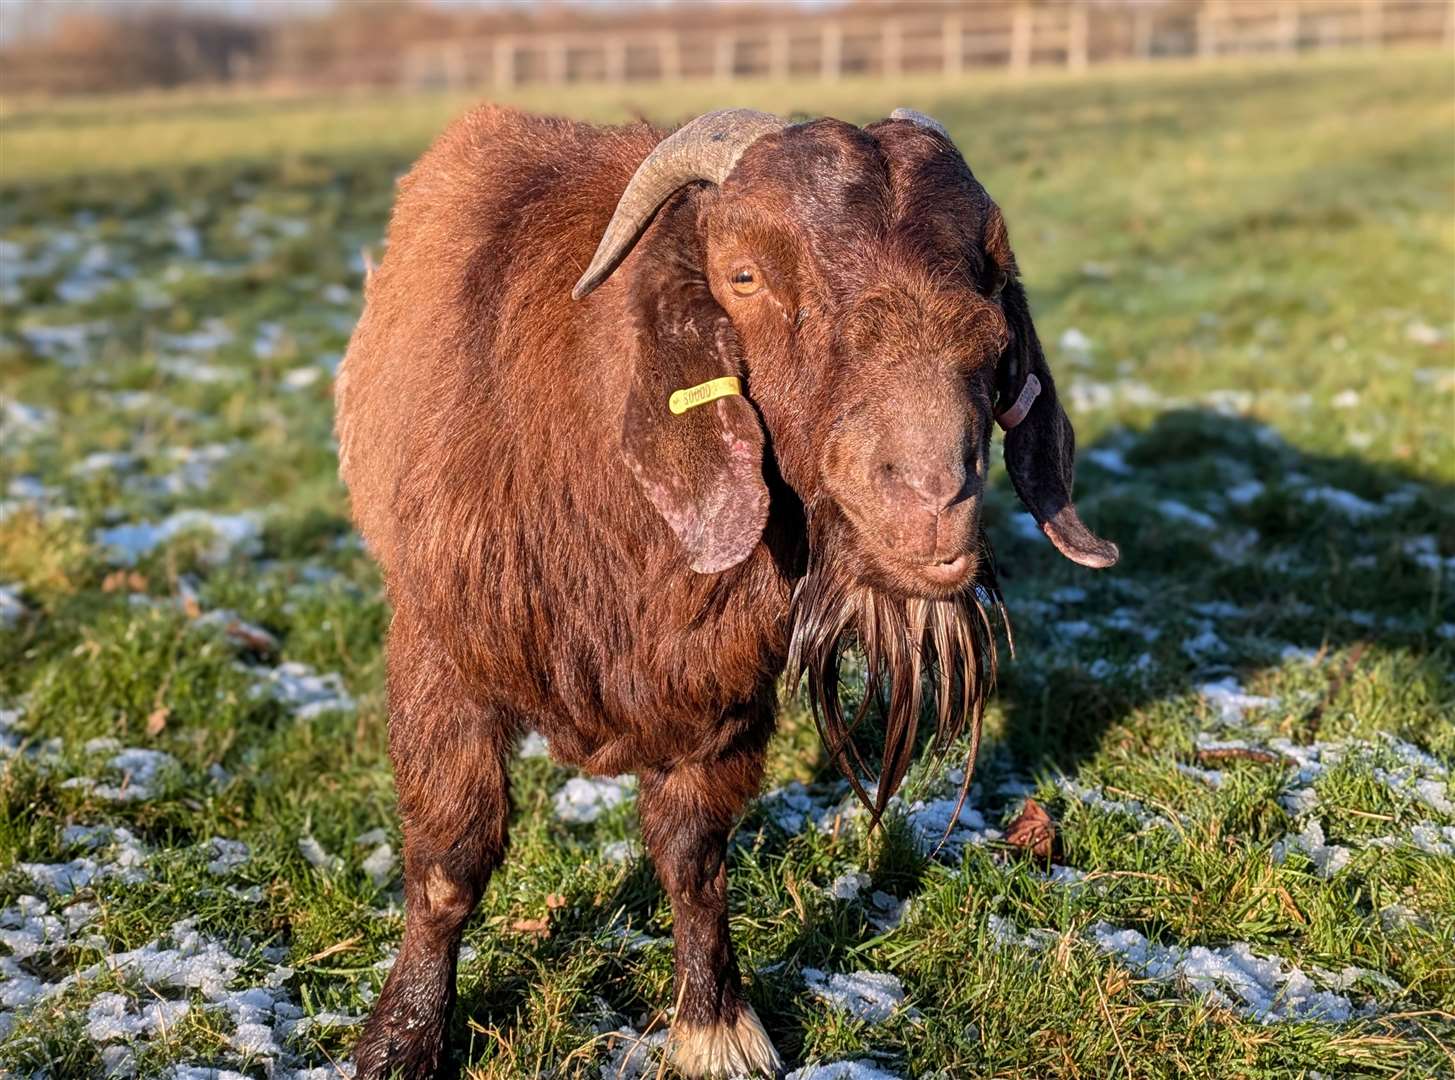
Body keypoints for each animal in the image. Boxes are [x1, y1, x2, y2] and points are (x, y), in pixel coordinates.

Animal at [337, 103, 1111, 1080]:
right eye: (742, 276)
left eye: (990, 276)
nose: (933, 499)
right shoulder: (442, 649)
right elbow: (450, 857)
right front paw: (398, 1042)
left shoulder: (721, 687)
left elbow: (694, 854)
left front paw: (715, 1026)